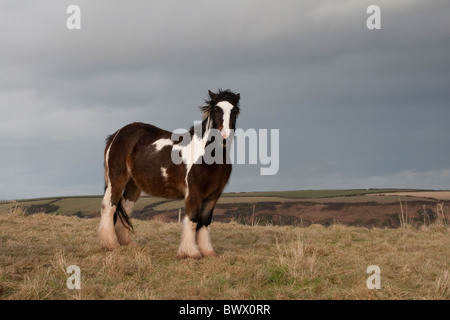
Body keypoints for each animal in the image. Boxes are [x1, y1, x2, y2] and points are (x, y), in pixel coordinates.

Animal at [97, 89, 241, 258]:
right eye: (217, 109)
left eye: (235, 111)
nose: (224, 137)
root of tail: (117, 134)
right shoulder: (194, 193)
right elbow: (192, 220)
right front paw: (191, 252)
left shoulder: (213, 196)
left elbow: (204, 222)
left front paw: (207, 251)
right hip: (117, 180)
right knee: (109, 206)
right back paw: (110, 244)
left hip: (133, 185)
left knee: (125, 210)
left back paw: (128, 243)